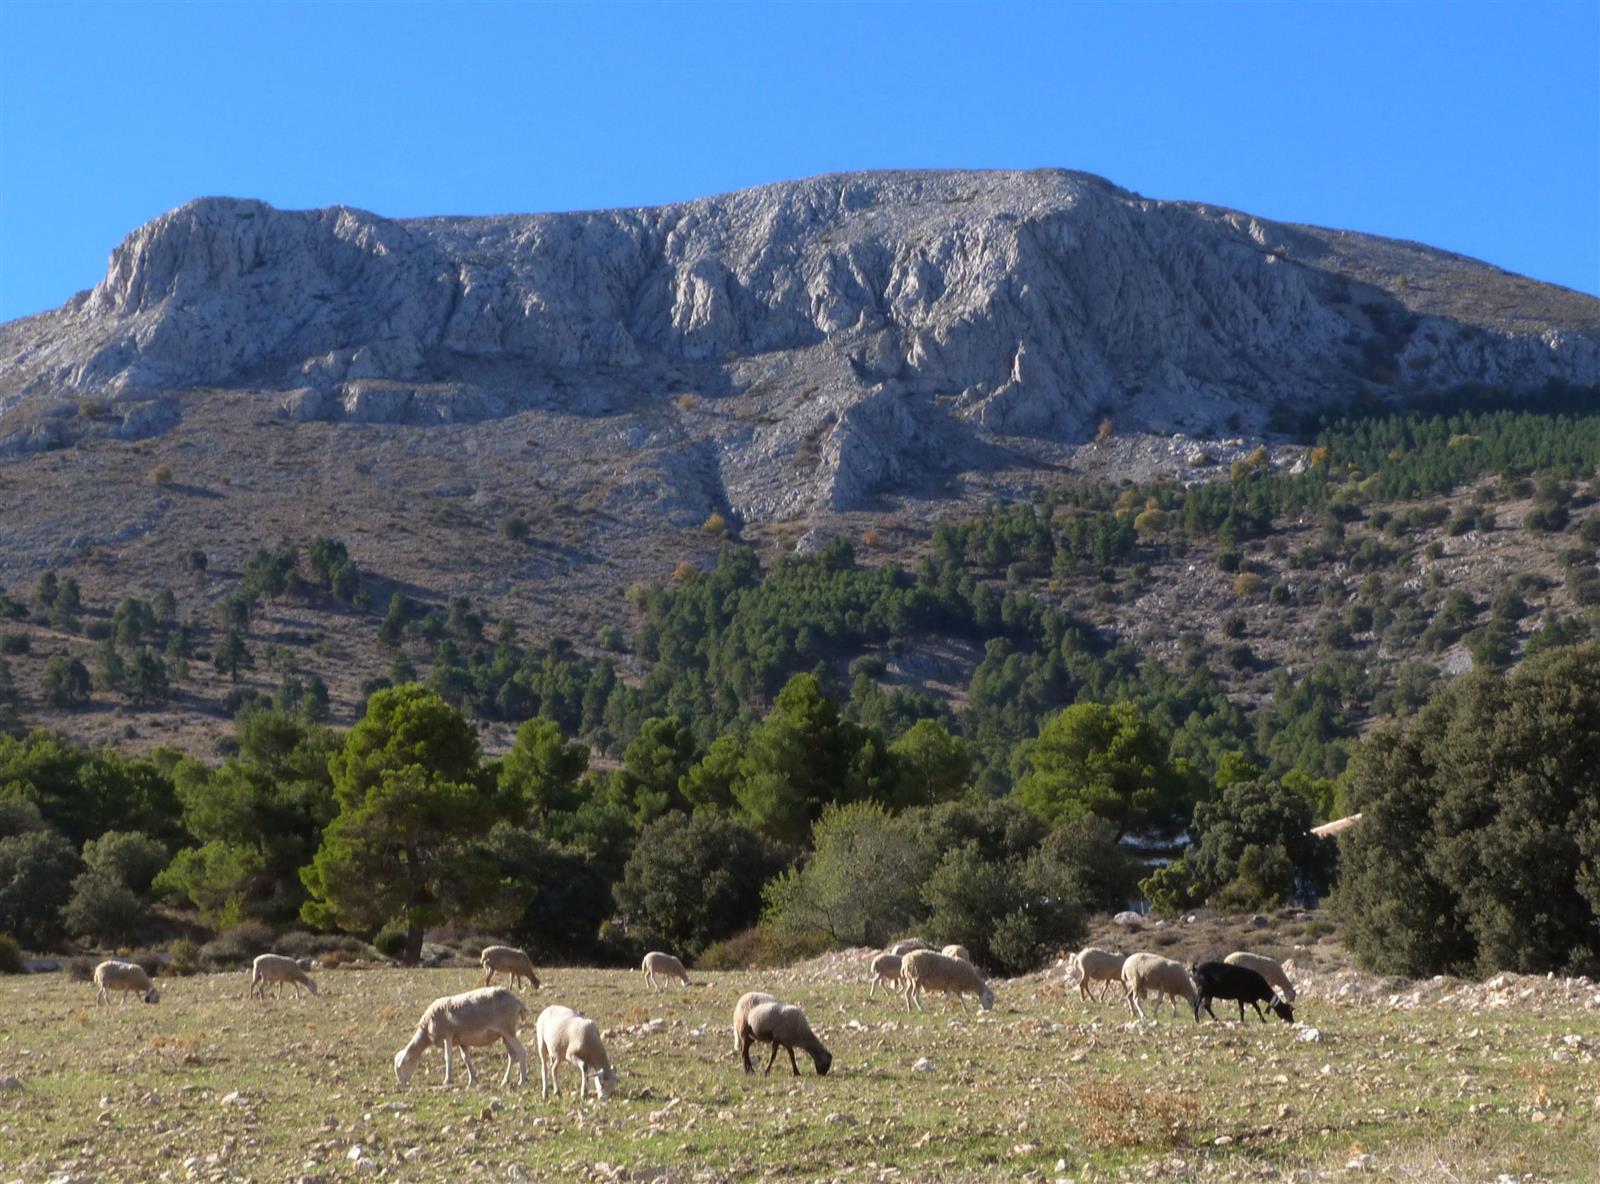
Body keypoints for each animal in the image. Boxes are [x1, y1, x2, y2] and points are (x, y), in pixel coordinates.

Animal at [393, 986, 528, 1087]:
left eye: (400, 1067)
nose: (402, 1085)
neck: (426, 1030)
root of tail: (517, 1001)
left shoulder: (447, 1035)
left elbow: (448, 1057)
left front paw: (447, 1080)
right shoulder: (461, 1041)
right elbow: (466, 1058)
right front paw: (472, 1080)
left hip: (507, 1029)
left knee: (521, 1051)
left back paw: (522, 1080)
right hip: (504, 1034)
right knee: (512, 1055)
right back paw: (505, 1080)